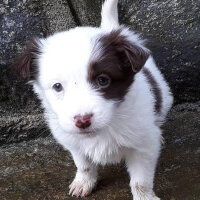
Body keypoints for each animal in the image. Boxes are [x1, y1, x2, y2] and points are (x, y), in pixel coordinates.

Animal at [13, 0, 173, 199]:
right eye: (57, 86)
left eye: (103, 80)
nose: (82, 121)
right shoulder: (74, 143)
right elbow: (84, 165)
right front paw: (84, 182)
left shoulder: (143, 145)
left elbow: (141, 181)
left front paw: (145, 197)